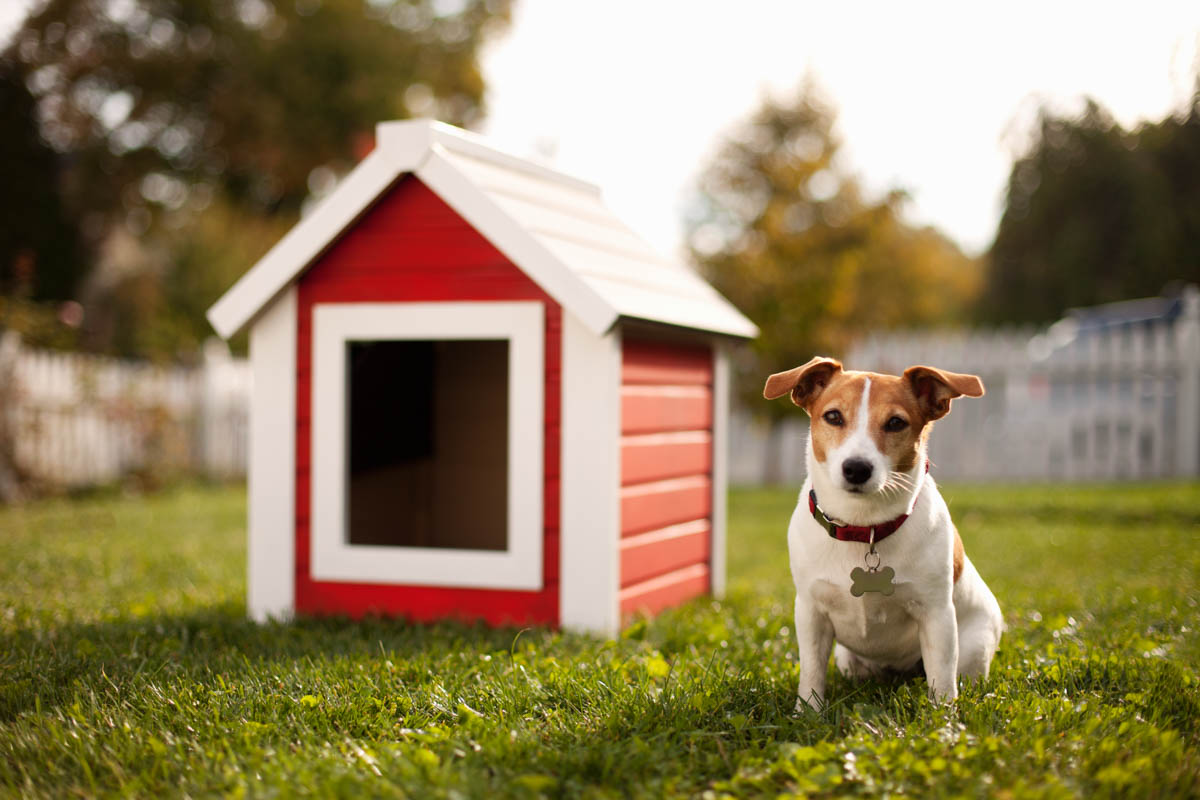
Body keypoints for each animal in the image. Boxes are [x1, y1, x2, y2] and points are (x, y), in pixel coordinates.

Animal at [768, 357, 1003, 705]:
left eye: (895, 423)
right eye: (833, 416)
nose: (857, 468)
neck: (864, 527)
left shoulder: (936, 616)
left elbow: (943, 682)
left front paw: (944, 718)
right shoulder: (811, 613)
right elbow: (811, 674)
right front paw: (807, 711)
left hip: (973, 646)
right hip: (848, 659)